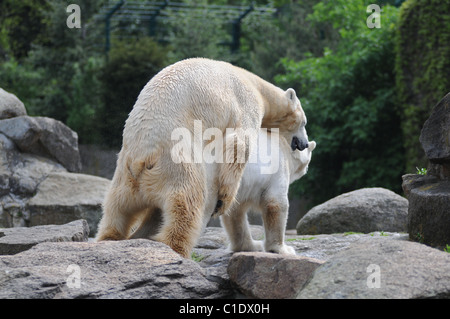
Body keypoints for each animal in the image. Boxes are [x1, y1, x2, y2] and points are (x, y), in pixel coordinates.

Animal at [96, 57, 308, 258]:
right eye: (304, 122)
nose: (305, 143)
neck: (255, 84)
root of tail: (142, 160)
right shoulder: (247, 103)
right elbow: (239, 143)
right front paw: (225, 200)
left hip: (125, 177)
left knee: (117, 210)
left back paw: (111, 237)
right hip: (176, 161)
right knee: (188, 203)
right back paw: (175, 249)